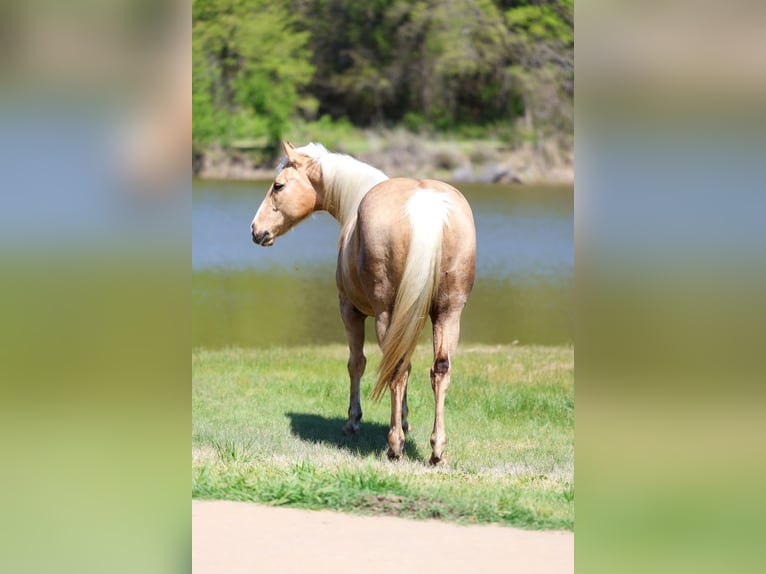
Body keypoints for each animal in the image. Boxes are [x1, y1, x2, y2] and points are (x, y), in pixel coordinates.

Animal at [250, 141, 476, 464]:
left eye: (278, 185)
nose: (256, 230)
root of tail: (425, 204)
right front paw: (405, 419)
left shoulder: (350, 310)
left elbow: (356, 363)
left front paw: (353, 421)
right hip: (448, 314)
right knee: (439, 370)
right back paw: (437, 450)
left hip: (385, 314)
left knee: (396, 370)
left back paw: (395, 446)